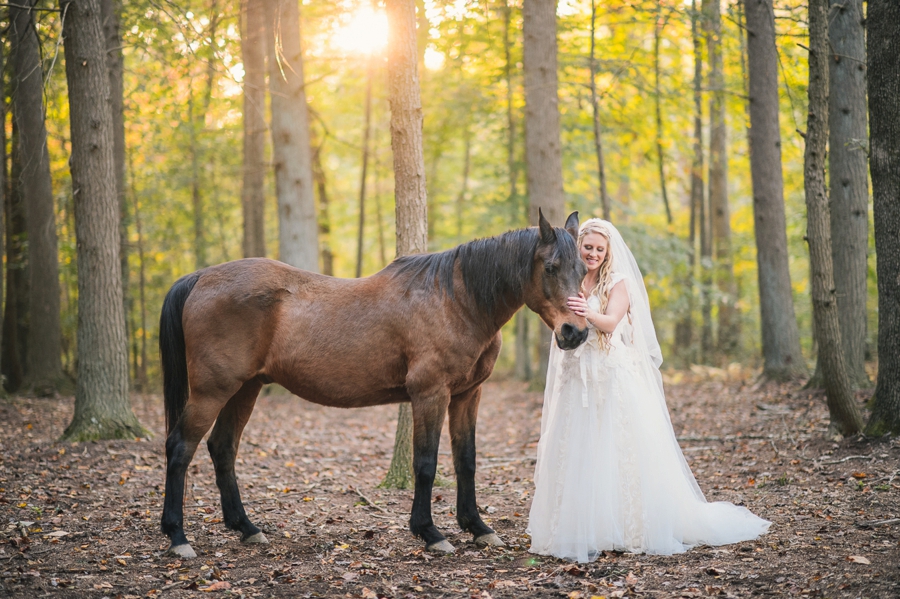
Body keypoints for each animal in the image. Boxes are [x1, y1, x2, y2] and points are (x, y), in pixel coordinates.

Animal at [158, 210, 588, 556]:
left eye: (584, 270)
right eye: (551, 267)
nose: (575, 332)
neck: (455, 300)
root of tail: (201, 277)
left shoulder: (467, 395)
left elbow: (466, 460)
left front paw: (478, 528)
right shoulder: (430, 394)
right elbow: (426, 463)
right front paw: (430, 532)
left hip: (245, 388)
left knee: (222, 447)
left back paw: (246, 528)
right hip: (212, 391)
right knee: (180, 448)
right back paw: (178, 537)